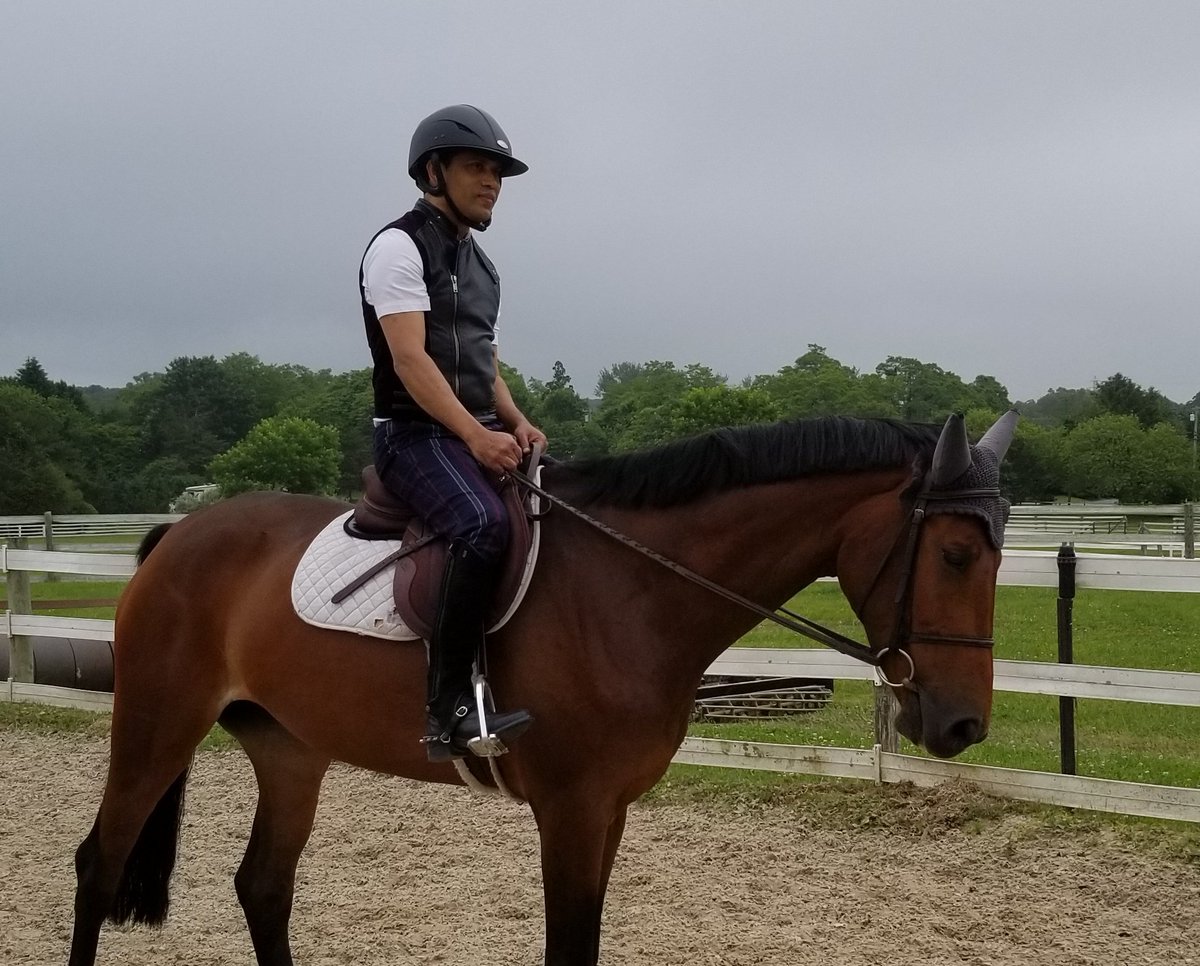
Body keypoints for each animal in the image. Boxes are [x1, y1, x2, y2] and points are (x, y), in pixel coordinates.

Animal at [69, 410, 1017, 966]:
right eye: (955, 555)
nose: (964, 724)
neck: (630, 587)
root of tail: (179, 535)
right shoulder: (570, 809)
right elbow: (568, 949)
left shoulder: (611, 810)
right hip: (156, 726)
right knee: (100, 863)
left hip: (290, 749)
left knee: (263, 885)